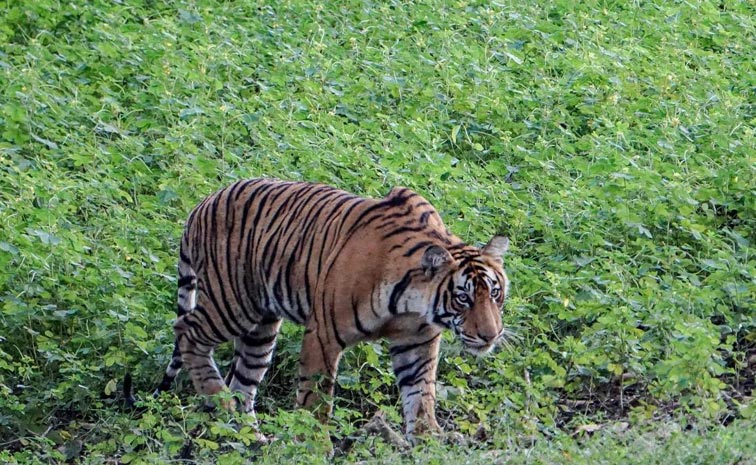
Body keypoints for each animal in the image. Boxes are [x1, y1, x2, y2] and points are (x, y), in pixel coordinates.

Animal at [154, 178, 511, 441]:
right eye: (462, 298)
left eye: (495, 293)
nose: (491, 335)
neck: (411, 303)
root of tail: (201, 205)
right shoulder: (323, 335)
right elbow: (316, 399)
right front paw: (313, 446)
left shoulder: (417, 341)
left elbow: (421, 394)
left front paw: (428, 441)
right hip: (233, 302)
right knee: (186, 331)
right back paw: (219, 399)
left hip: (262, 328)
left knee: (243, 383)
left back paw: (249, 439)